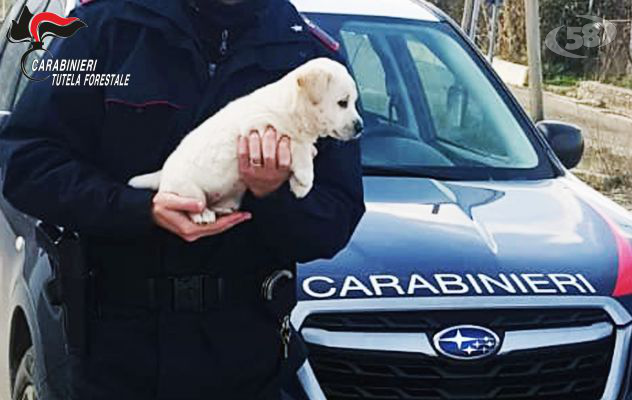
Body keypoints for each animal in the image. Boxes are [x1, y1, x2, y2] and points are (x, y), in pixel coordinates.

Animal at [130, 57, 360, 223]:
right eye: (343, 103)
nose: (360, 127)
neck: (293, 108)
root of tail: (162, 175)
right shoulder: (261, 126)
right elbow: (295, 144)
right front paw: (305, 177)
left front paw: (298, 185)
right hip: (186, 191)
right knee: (193, 205)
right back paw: (202, 214)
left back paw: (223, 208)